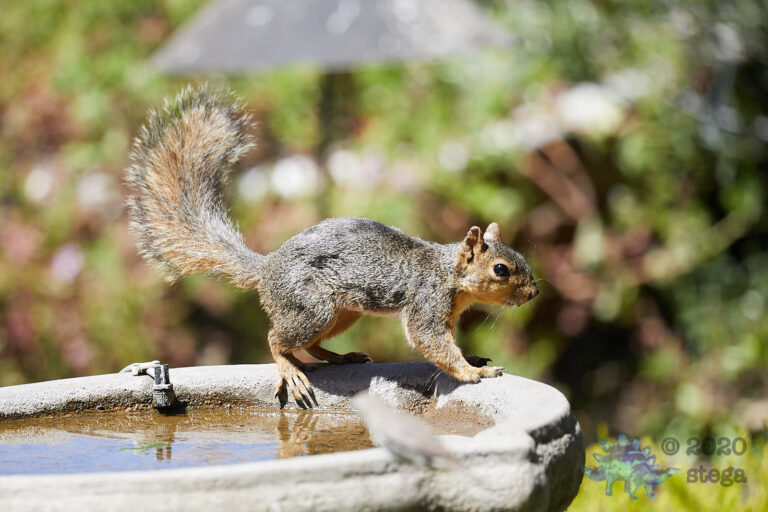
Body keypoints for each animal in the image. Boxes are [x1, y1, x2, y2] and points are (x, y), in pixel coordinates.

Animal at [125, 85, 539, 408]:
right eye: (501, 269)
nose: (534, 293)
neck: (448, 272)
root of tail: (268, 268)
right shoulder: (427, 303)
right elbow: (433, 344)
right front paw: (473, 372)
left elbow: (448, 345)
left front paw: (471, 358)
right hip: (312, 306)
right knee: (277, 339)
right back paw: (291, 370)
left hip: (344, 312)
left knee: (311, 345)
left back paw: (341, 357)